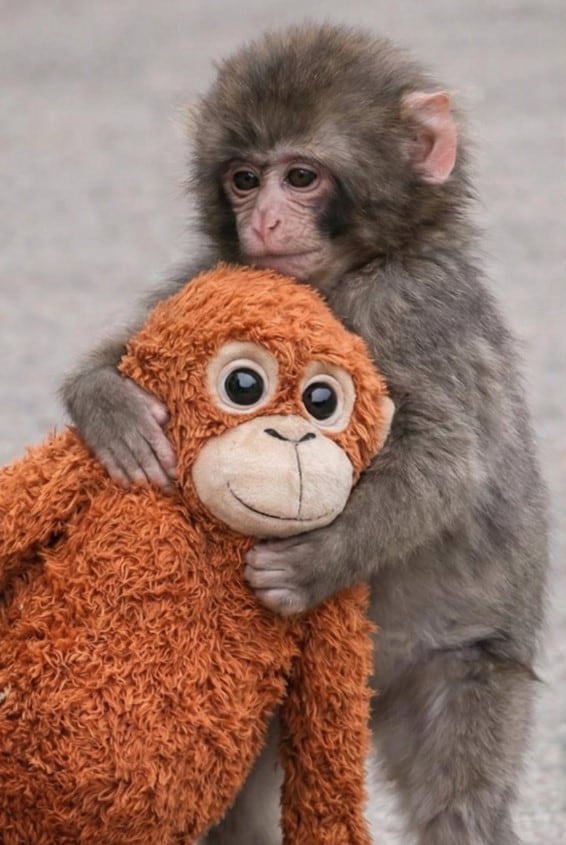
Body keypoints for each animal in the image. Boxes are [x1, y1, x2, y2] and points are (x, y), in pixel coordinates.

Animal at [61, 23, 547, 845]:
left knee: (460, 802)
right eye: (244, 179)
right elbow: (132, 352)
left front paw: (314, 564)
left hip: (462, 660)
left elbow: (446, 460)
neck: (343, 275)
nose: (263, 222)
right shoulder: (222, 274)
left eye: (300, 176)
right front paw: (111, 408)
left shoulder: (416, 305)